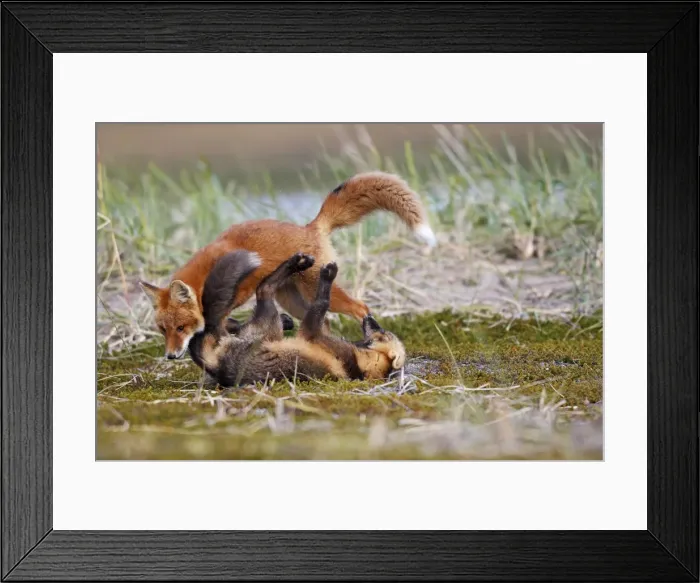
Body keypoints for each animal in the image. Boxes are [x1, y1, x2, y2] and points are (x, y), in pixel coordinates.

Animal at [139, 170, 436, 359]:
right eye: (163, 330)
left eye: (180, 328)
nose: (170, 356)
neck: (207, 274)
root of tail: (309, 227)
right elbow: (235, 324)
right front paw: (281, 325)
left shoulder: (228, 304)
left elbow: (225, 328)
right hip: (292, 299)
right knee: (323, 323)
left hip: (321, 292)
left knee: (361, 307)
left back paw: (367, 337)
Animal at [187, 250, 407, 388]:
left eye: (382, 333)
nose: (369, 318)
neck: (361, 365)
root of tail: (217, 368)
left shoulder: (314, 335)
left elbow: (321, 304)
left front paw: (327, 276)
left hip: (267, 323)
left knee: (263, 289)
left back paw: (299, 264)